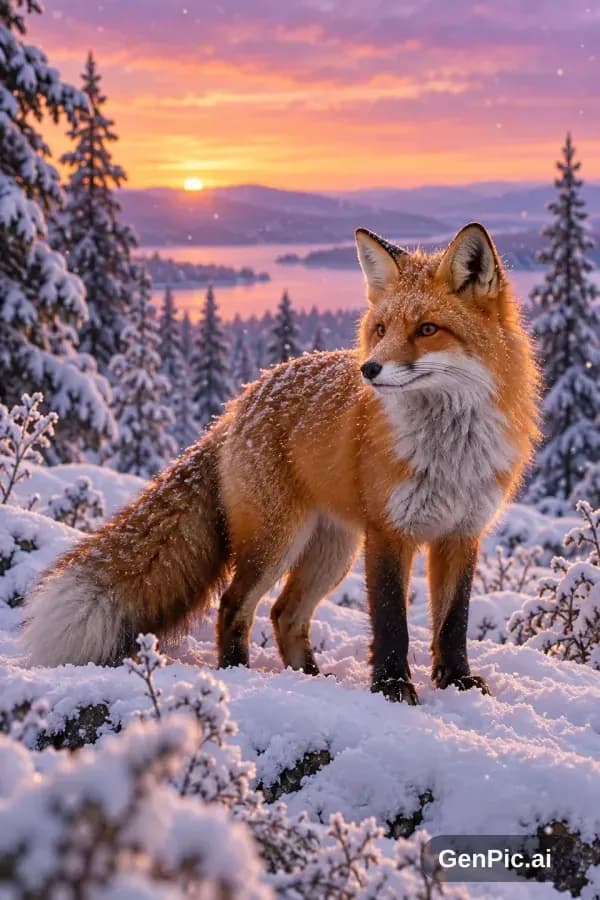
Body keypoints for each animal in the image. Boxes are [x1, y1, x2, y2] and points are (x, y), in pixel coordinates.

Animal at [24, 223, 539, 704]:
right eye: (380, 330)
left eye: (427, 329)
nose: (369, 370)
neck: (449, 452)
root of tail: (239, 403)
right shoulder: (389, 533)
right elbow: (392, 621)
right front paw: (392, 687)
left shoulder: (462, 534)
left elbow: (453, 622)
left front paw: (457, 682)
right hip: (277, 541)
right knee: (235, 604)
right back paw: (238, 672)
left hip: (332, 550)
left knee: (284, 613)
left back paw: (309, 679)